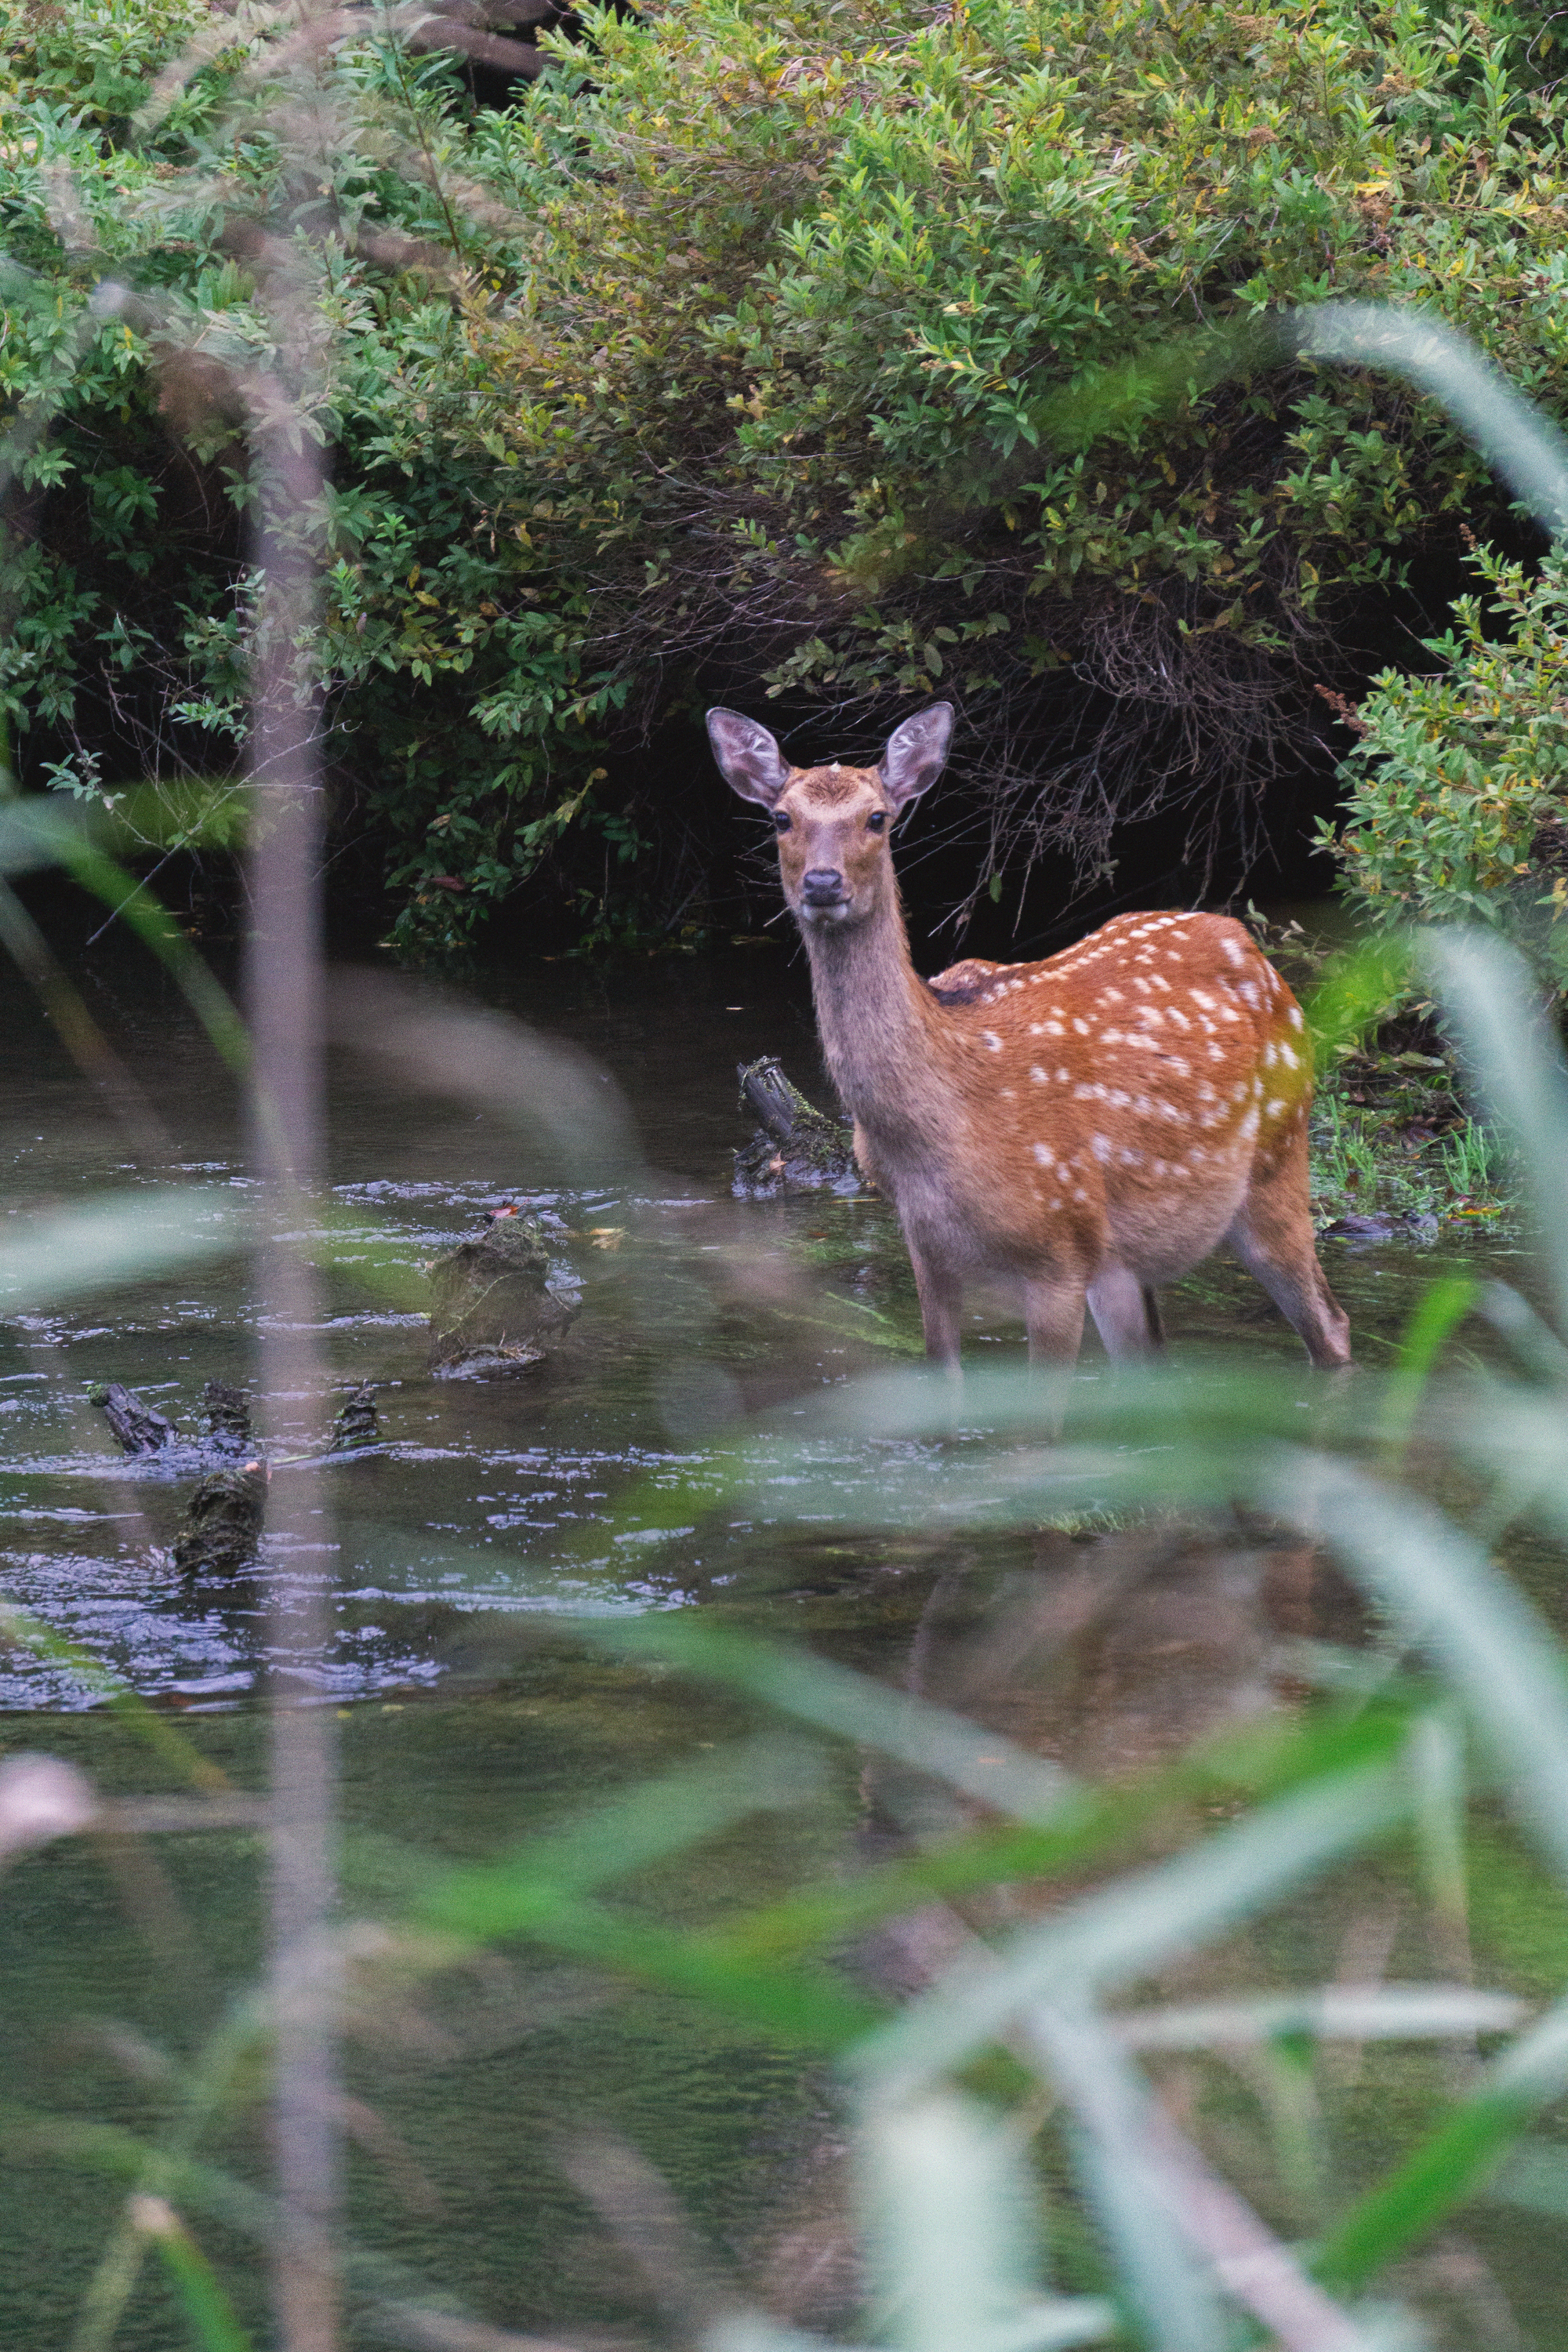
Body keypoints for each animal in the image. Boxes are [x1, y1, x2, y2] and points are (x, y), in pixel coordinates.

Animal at [707, 701, 1351, 1374]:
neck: (938, 1134)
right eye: (781, 818)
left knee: (1330, 1324)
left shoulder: (1058, 1247)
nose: (824, 883)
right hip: (1126, 1258)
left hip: (1279, 1155)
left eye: (877, 817)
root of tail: (1252, 948)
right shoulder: (926, 1249)